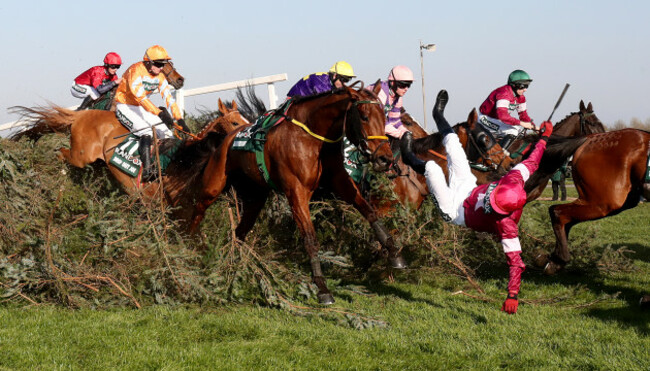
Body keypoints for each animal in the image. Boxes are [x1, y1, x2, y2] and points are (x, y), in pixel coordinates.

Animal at [185, 84, 402, 306]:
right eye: (364, 116)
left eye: (384, 117)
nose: (385, 159)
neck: (312, 138)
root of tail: (225, 140)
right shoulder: (296, 192)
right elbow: (310, 239)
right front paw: (322, 288)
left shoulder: (340, 181)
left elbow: (369, 211)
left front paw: (393, 252)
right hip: (212, 186)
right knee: (197, 212)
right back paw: (188, 249)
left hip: (255, 198)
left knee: (239, 233)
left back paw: (237, 264)